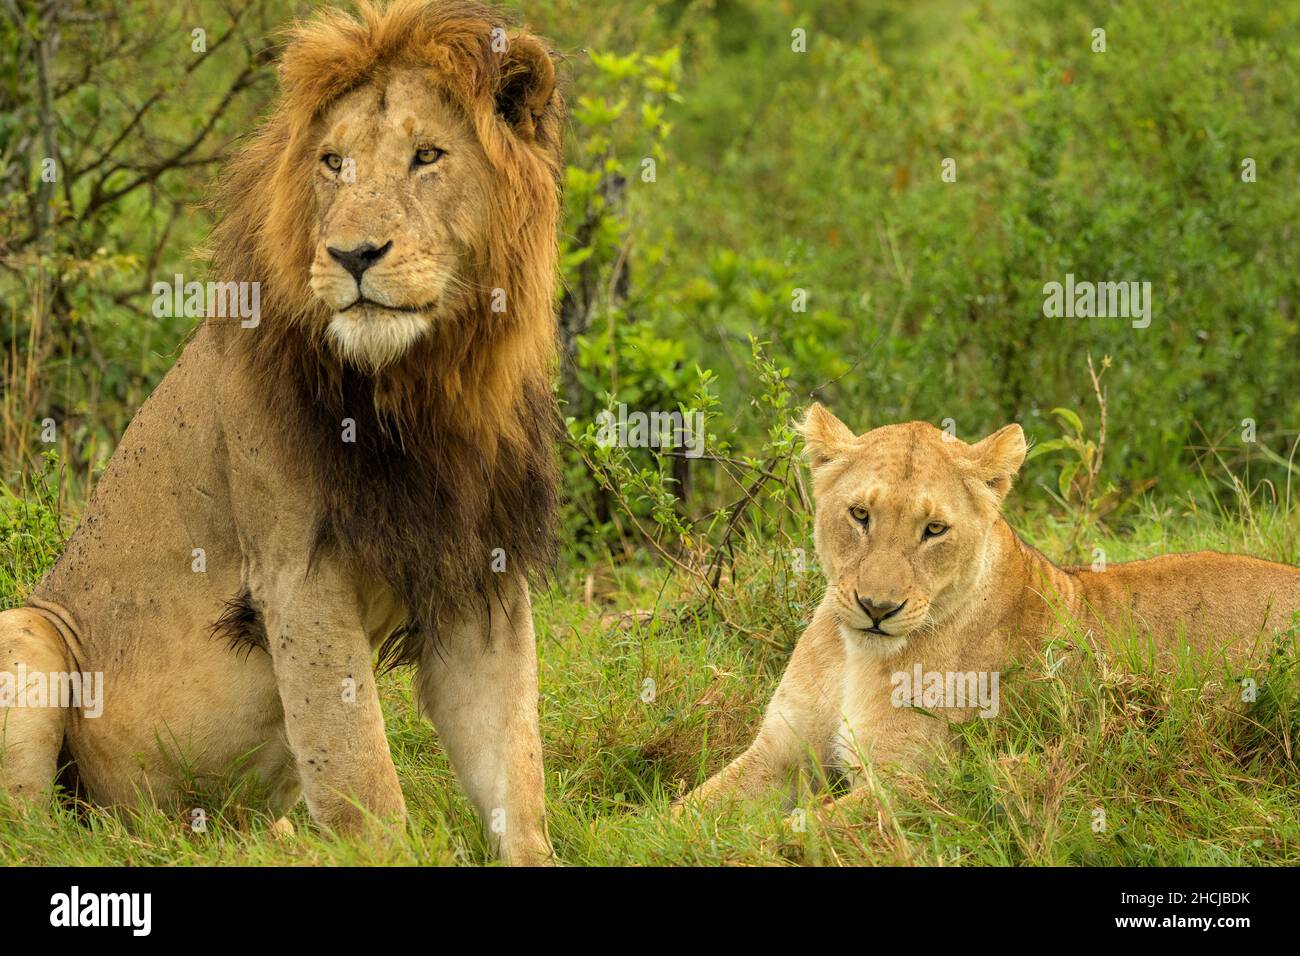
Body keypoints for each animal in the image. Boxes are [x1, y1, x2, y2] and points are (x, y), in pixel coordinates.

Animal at [3, 0, 564, 868]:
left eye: (427, 156)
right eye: (333, 162)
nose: (351, 254)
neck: (426, 386)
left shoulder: (481, 576)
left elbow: (515, 763)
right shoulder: (297, 575)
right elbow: (361, 770)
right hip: (29, 631)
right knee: (38, 832)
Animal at [686, 403, 1294, 806]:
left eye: (934, 530)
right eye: (860, 515)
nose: (877, 607)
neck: (855, 657)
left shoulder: (910, 786)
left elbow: (795, 836)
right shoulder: (780, 752)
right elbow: (687, 814)